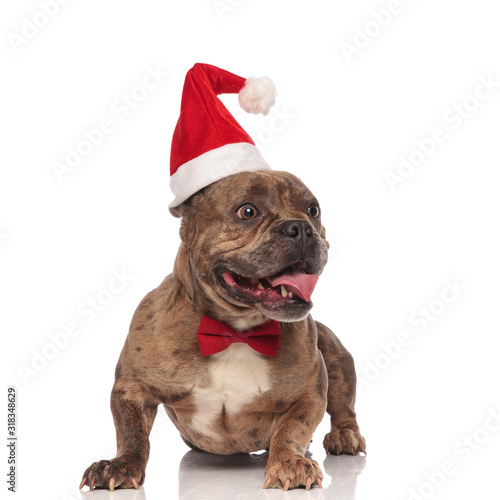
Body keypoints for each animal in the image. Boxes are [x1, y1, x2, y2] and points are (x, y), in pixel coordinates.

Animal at [80, 170, 366, 490]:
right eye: (248, 211)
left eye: (313, 210)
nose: (301, 227)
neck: (236, 331)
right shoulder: (132, 387)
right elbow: (132, 433)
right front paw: (120, 464)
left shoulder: (309, 394)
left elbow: (293, 428)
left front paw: (289, 462)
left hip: (335, 355)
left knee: (343, 406)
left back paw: (345, 435)